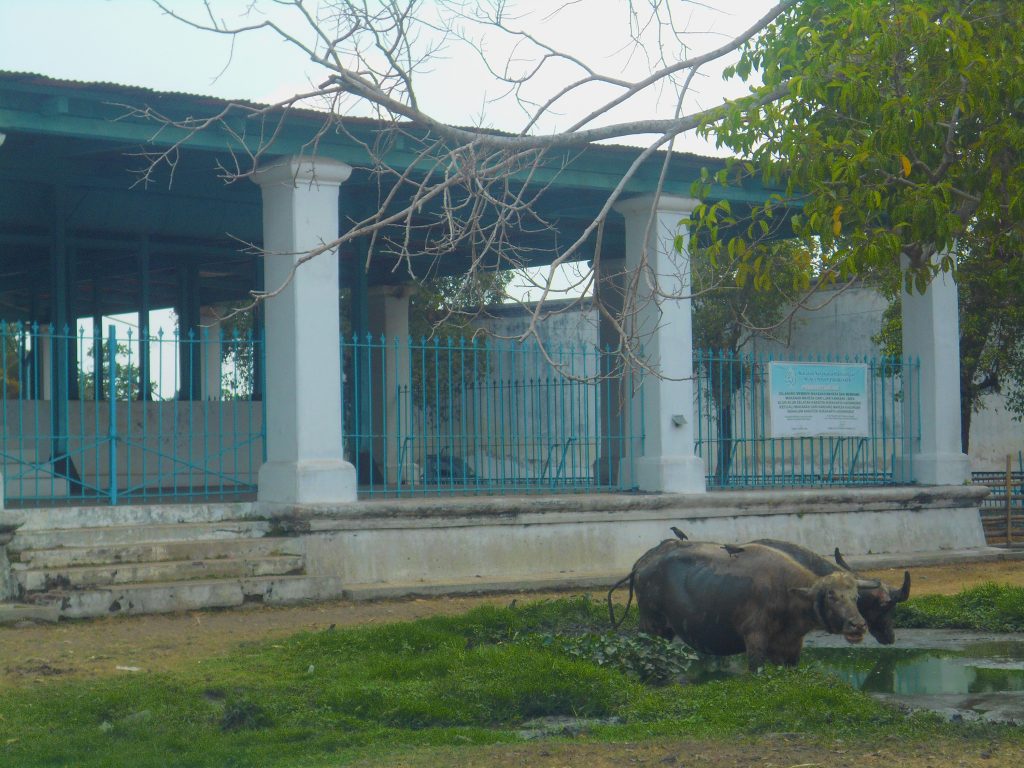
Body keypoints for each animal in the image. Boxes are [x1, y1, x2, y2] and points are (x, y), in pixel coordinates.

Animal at [630, 536, 872, 671]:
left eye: (855, 596)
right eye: (831, 596)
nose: (858, 625)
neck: (786, 592)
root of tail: (643, 563)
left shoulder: (791, 649)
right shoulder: (755, 641)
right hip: (650, 627)